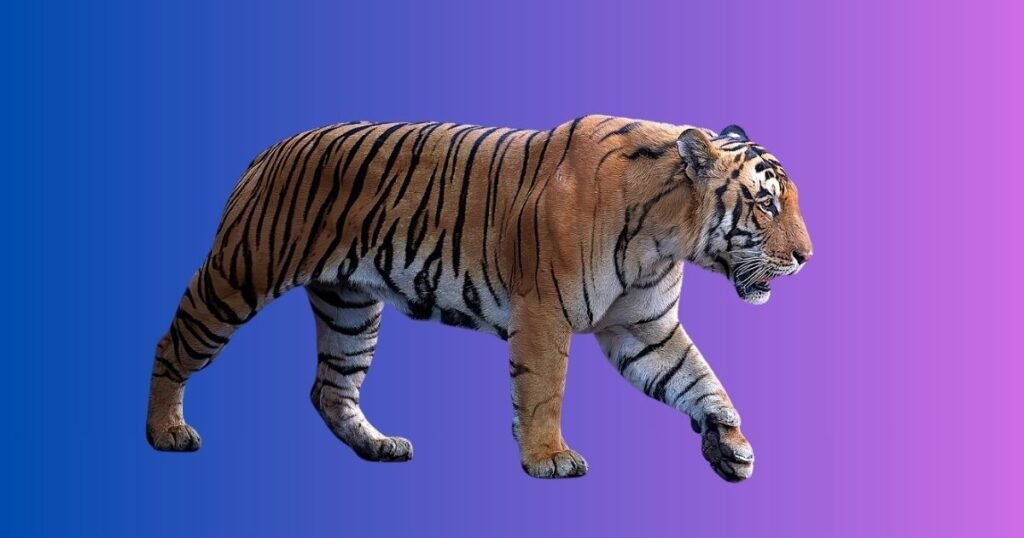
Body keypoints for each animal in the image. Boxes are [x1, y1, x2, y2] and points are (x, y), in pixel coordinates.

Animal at [146, 115, 812, 481]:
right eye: (766, 204)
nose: (808, 257)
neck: (666, 236)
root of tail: (270, 149)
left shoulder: (645, 330)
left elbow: (698, 378)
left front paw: (730, 444)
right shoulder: (545, 313)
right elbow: (543, 391)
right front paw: (548, 458)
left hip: (351, 308)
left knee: (330, 388)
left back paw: (379, 447)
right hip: (240, 275)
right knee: (172, 344)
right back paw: (166, 433)